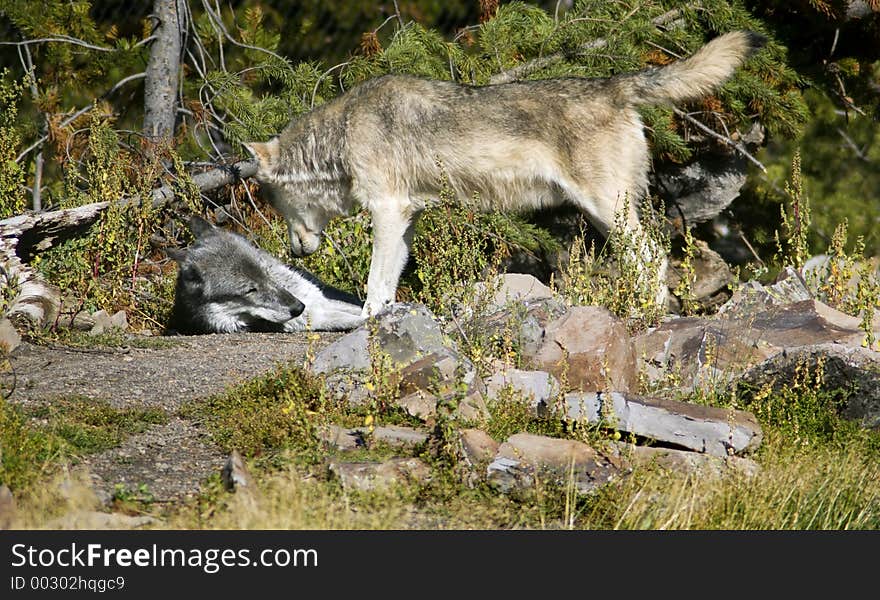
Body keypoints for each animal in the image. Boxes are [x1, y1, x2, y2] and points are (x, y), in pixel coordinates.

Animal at [167, 216, 362, 336]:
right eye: (250, 290)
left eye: (265, 272)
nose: (299, 307)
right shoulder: (319, 316)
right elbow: (363, 318)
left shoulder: (322, 301)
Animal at [242, 29, 764, 316]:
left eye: (273, 202)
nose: (293, 252)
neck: (344, 132)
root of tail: (614, 83)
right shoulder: (404, 217)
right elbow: (389, 281)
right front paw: (380, 319)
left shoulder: (386, 212)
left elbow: (373, 282)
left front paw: (367, 318)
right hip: (605, 216)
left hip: (607, 211)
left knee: (652, 258)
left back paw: (647, 315)